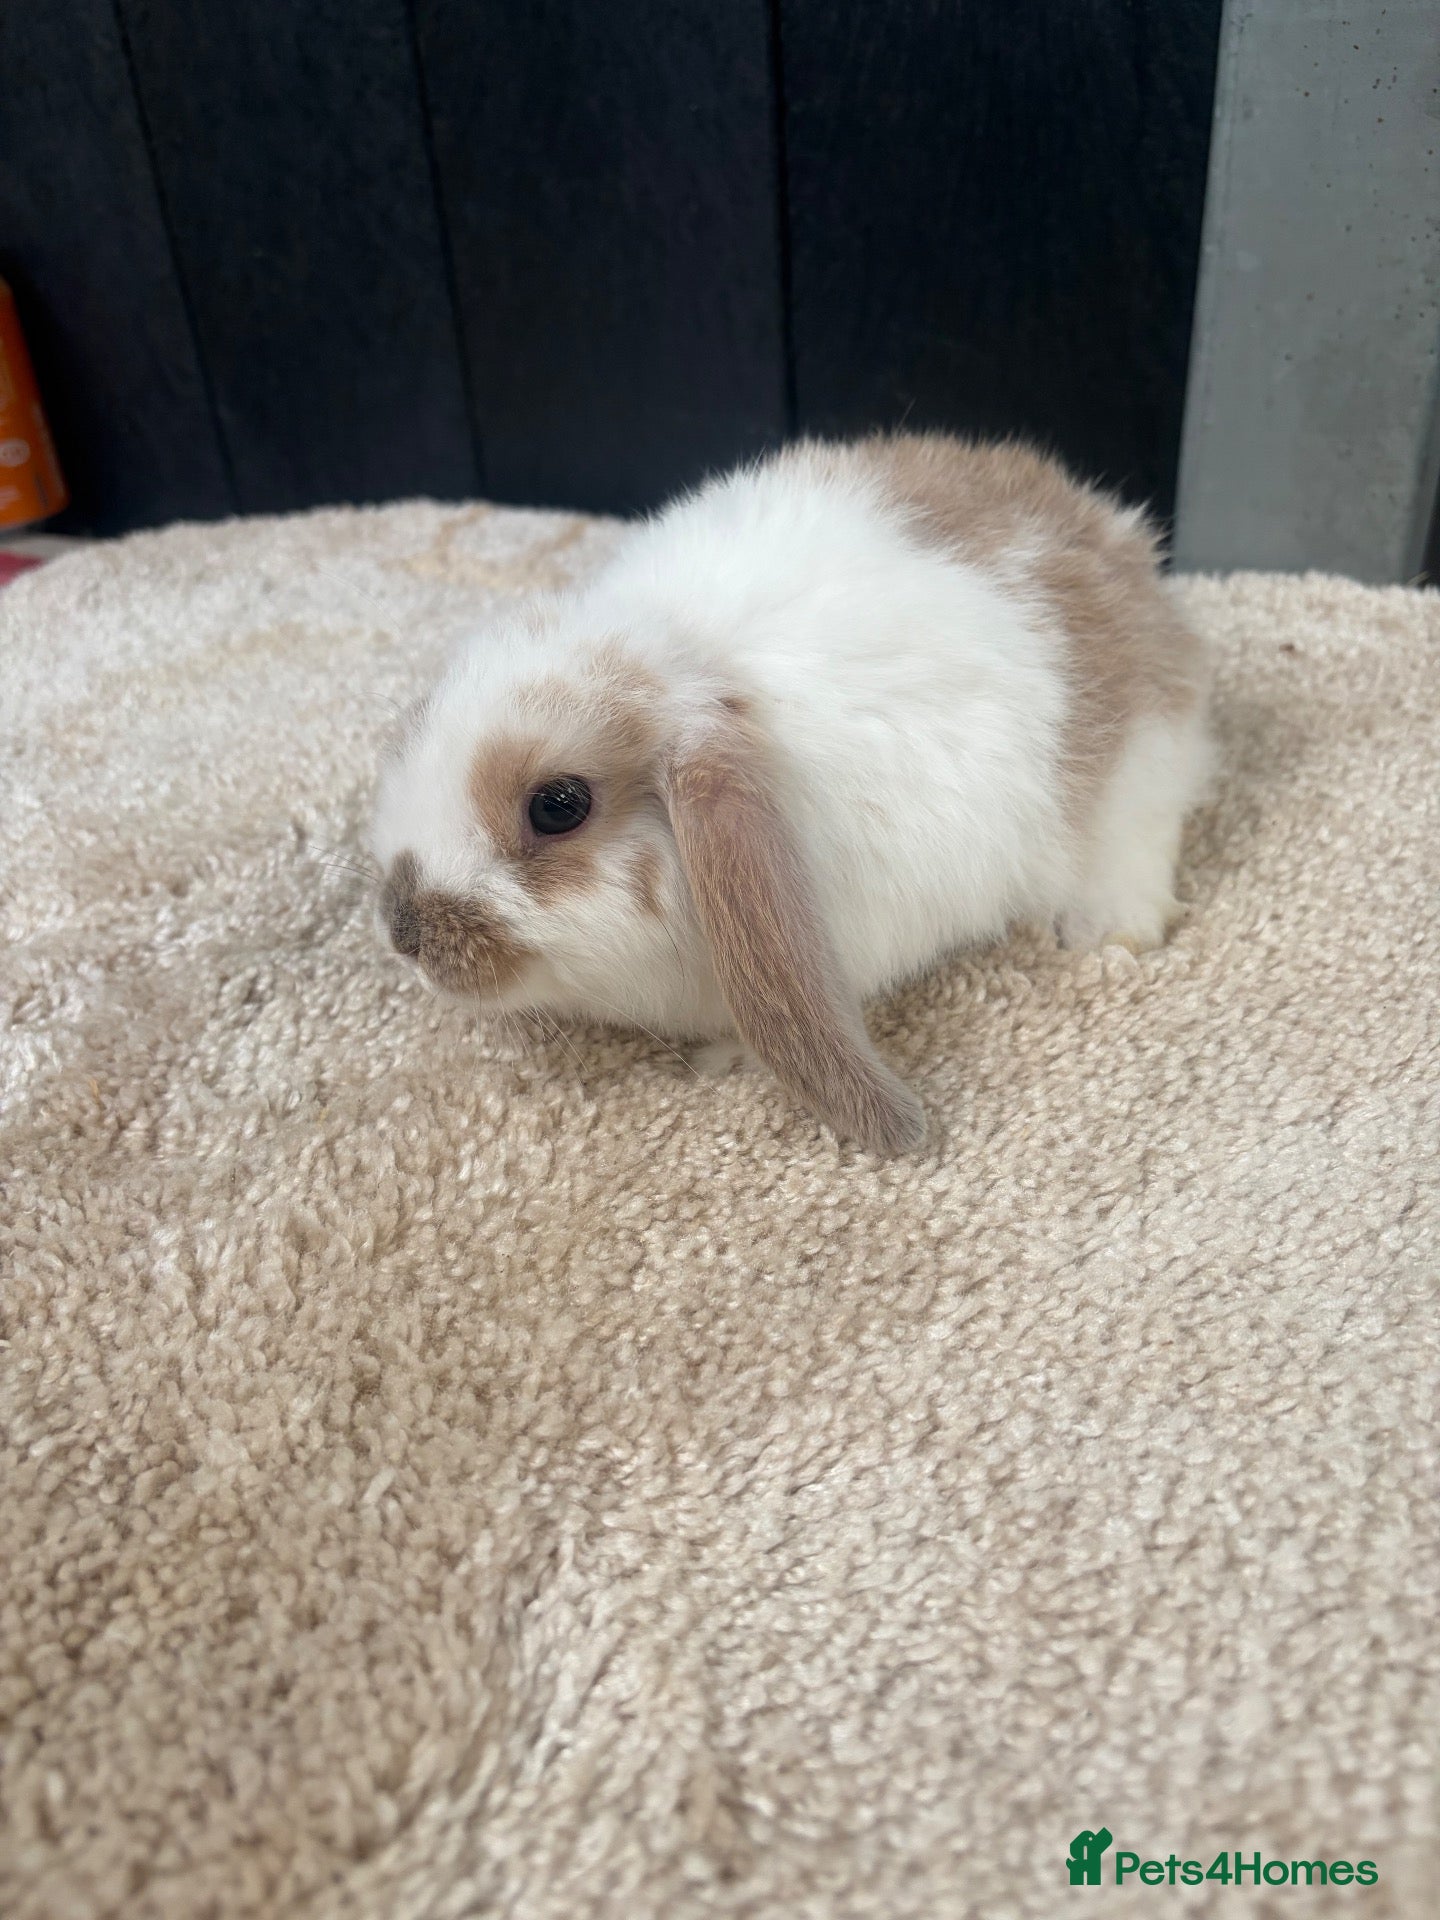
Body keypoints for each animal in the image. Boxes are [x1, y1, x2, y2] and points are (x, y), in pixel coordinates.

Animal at [369, 432, 1212, 1154]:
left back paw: (1109, 934)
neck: (700, 667)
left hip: (1139, 777)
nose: (403, 930)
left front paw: (724, 1060)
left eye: (557, 806)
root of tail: (1119, 536)